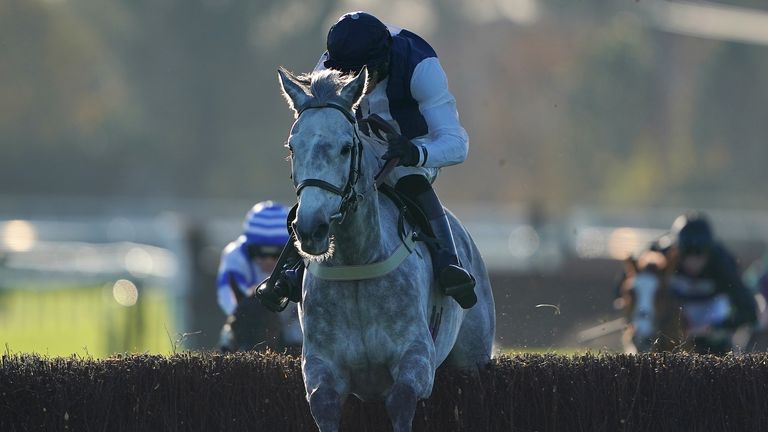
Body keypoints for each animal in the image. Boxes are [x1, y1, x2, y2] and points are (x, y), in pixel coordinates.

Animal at [280, 65, 496, 432]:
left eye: (345, 148)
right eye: (293, 147)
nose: (310, 227)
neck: (356, 263)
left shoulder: (416, 356)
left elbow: (401, 399)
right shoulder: (320, 366)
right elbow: (324, 403)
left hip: (472, 357)